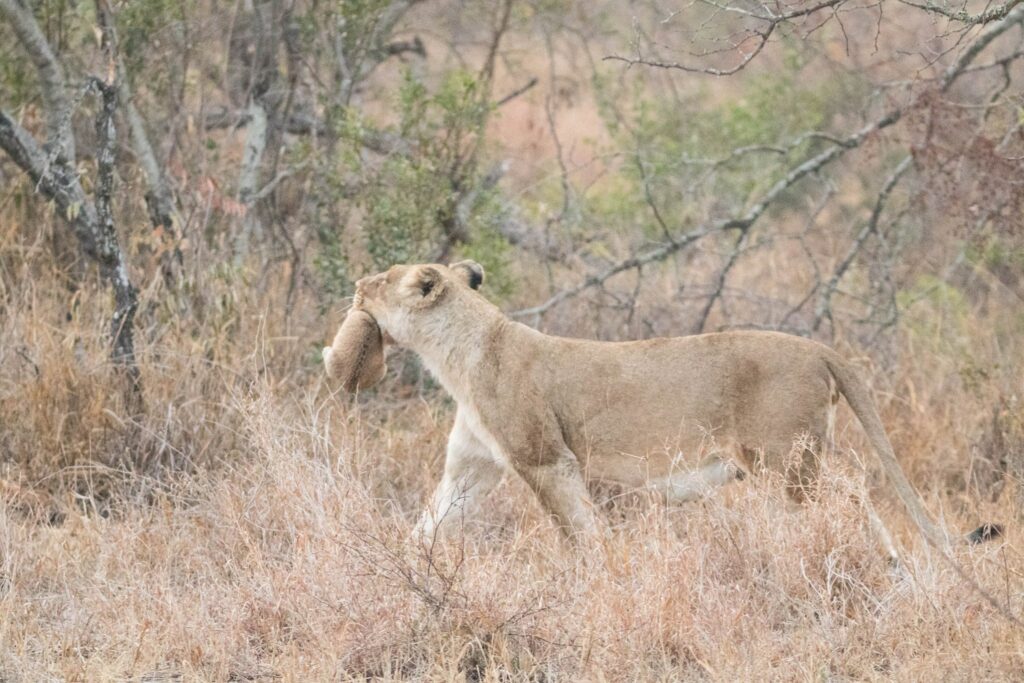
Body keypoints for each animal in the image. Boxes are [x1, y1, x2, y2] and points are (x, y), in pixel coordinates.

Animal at [327, 260, 999, 555]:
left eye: (383, 278)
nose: (354, 284)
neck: (460, 355)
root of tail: (818, 347)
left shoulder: (546, 460)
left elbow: (579, 531)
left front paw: (599, 579)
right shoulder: (472, 468)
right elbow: (430, 525)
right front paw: (400, 575)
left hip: (785, 461)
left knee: (853, 501)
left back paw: (890, 575)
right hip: (791, 463)